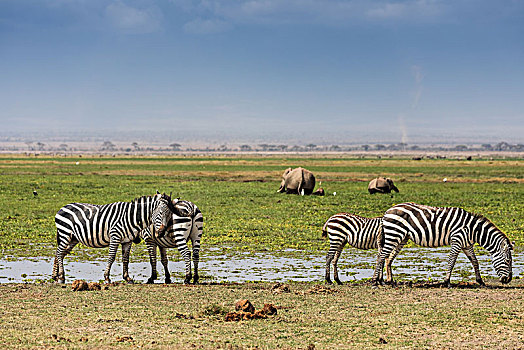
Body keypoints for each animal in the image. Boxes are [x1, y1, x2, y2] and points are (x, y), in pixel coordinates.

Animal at [372, 202, 516, 288]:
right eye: (508, 261)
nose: (508, 280)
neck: (472, 230)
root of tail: (387, 212)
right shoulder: (457, 241)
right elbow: (451, 262)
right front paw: (446, 282)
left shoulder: (467, 245)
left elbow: (475, 261)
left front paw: (480, 281)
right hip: (394, 234)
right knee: (381, 256)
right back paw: (375, 281)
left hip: (401, 238)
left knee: (387, 257)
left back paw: (387, 281)